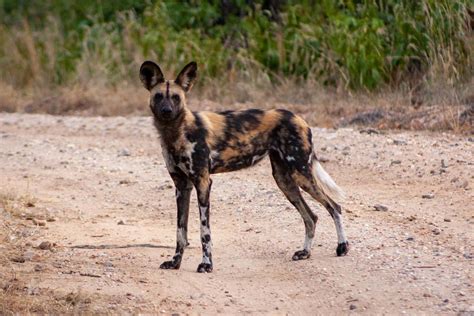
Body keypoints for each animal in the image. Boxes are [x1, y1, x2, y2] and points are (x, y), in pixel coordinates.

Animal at [139, 60, 350, 272]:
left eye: (176, 97)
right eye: (159, 96)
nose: (167, 111)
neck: (175, 133)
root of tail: (298, 117)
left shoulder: (203, 183)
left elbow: (204, 231)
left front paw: (206, 264)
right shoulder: (182, 186)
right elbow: (180, 231)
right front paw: (175, 262)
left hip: (300, 173)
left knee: (334, 207)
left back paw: (342, 247)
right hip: (284, 180)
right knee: (311, 217)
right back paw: (305, 252)